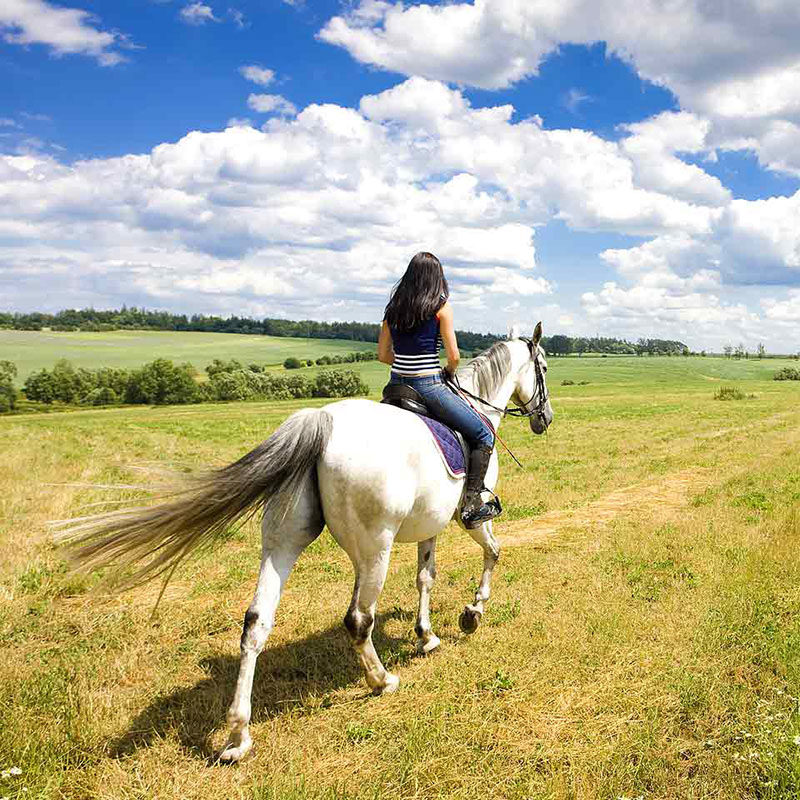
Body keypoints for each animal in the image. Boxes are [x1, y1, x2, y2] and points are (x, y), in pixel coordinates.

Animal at [62, 324, 552, 764]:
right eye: (543, 367)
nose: (545, 419)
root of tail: (323, 422)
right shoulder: (466, 516)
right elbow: (492, 552)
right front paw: (471, 614)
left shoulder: (427, 525)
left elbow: (425, 578)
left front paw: (426, 635)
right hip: (374, 549)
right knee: (358, 619)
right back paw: (380, 681)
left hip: (282, 543)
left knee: (255, 624)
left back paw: (238, 736)